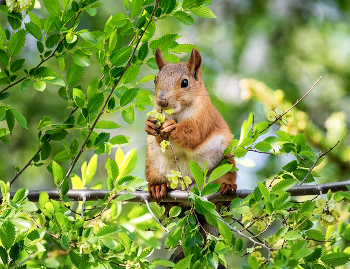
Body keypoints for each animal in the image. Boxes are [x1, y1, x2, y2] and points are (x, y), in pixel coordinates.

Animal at [144, 47, 237, 199]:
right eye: (155, 80)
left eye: (185, 83)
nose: (161, 101)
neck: (177, 112)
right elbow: (160, 140)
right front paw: (149, 125)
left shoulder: (204, 117)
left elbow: (194, 134)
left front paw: (171, 127)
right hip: (154, 166)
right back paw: (158, 187)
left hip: (225, 162)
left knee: (226, 176)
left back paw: (227, 186)